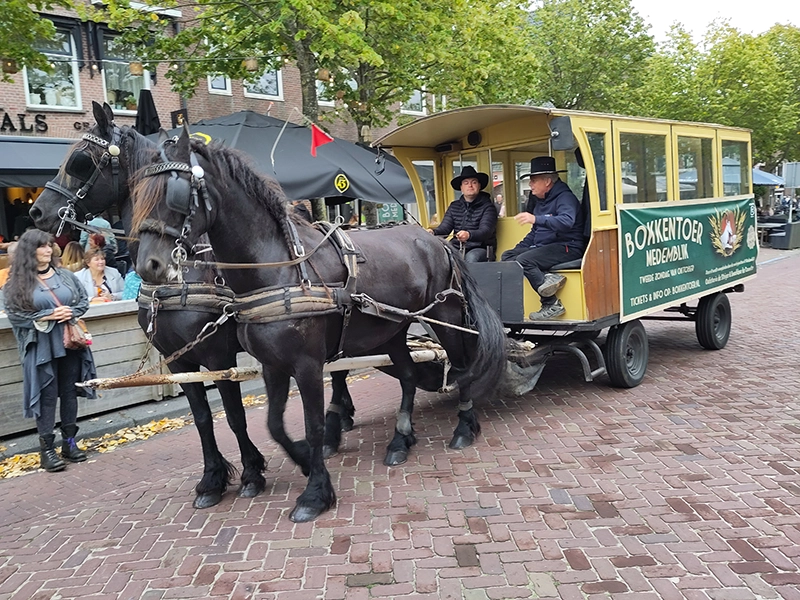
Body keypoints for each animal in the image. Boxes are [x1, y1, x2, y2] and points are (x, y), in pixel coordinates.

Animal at [29, 103, 348, 506]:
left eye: (80, 162)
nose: (37, 212)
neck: (184, 271)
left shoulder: (217, 356)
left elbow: (234, 415)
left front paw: (251, 474)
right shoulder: (177, 359)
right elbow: (202, 418)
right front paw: (212, 479)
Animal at [133, 130, 506, 520]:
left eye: (175, 193)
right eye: (138, 194)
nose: (149, 265)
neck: (278, 268)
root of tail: (438, 241)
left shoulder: (300, 364)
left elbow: (307, 425)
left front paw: (313, 492)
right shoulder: (264, 364)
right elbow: (272, 425)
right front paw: (299, 462)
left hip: (446, 318)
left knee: (463, 367)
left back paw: (464, 427)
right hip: (390, 331)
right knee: (407, 376)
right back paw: (400, 440)